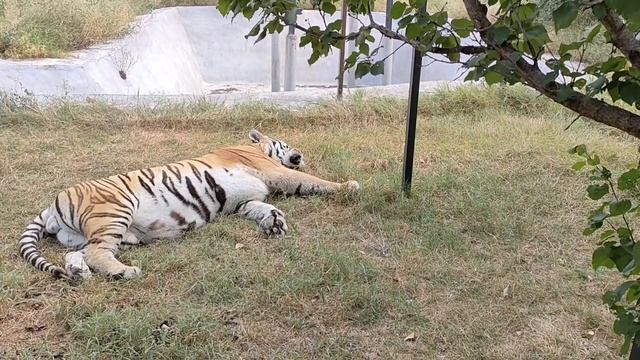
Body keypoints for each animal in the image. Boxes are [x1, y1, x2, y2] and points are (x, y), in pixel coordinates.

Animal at [18, 130, 360, 282]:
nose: (301, 153)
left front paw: (274, 222)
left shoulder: (242, 201)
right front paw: (349, 186)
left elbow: (259, 209)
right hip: (114, 212)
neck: (256, 148)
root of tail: (52, 204)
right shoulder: (272, 171)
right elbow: (311, 180)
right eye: (287, 144)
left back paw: (79, 274)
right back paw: (125, 272)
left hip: (88, 235)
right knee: (95, 252)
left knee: (75, 253)